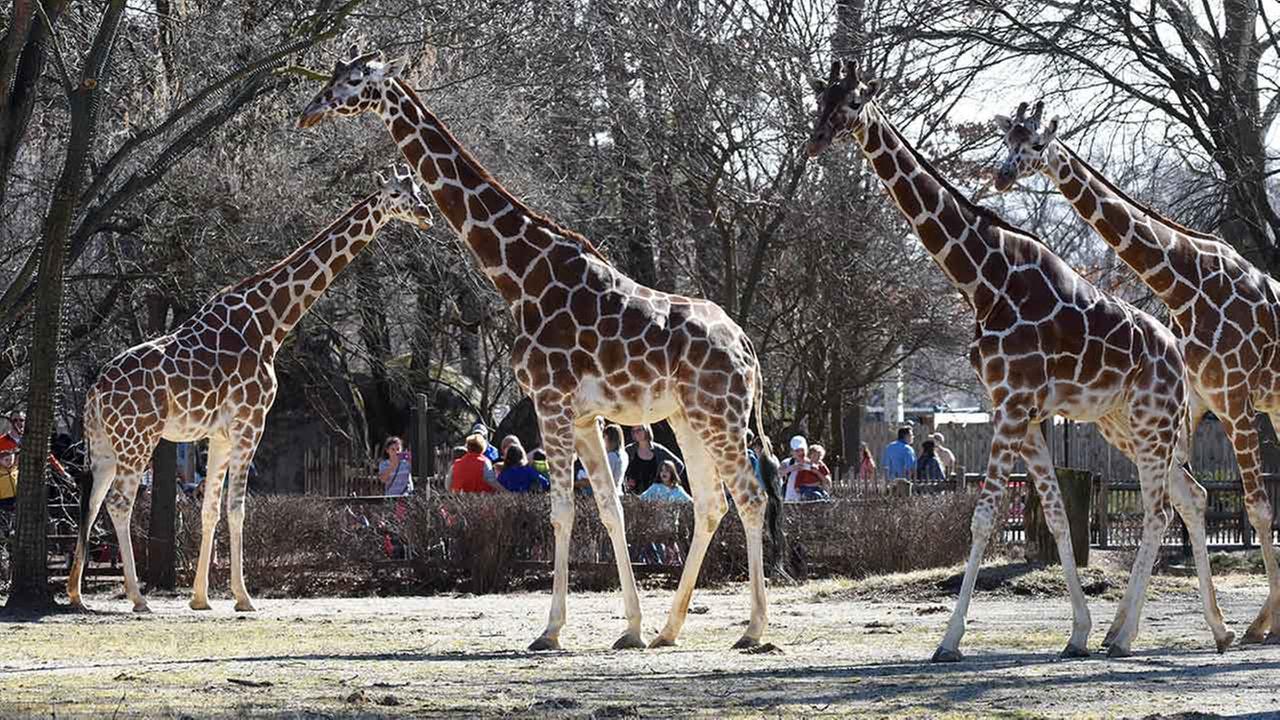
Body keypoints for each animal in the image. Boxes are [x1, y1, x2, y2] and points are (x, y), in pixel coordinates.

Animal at [67, 166, 434, 613]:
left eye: (419, 189)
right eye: (397, 193)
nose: (426, 215)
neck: (270, 323)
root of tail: (95, 390)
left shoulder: (220, 433)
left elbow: (209, 509)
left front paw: (201, 598)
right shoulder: (251, 422)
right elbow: (237, 508)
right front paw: (243, 597)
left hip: (105, 445)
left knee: (92, 501)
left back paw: (76, 593)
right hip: (138, 440)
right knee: (120, 505)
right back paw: (138, 597)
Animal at [298, 47, 786, 651]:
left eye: (352, 80)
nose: (309, 112)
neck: (522, 275)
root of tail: (747, 347)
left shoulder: (551, 401)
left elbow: (561, 511)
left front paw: (550, 630)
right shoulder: (583, 415)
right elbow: (609, 509)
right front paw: (630, 628)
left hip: (720, 414)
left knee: (750, 495)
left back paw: (754, 629)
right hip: (688, 418)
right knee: (712, 501)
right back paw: (669, 630)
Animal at [806, 60, 1233, 659]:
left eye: (852, 102)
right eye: (821, 98)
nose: (816, 140)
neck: (984, 280)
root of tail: (1178, 355)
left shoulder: (1011, 406)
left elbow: (984, 516)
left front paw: (949, 640)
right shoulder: (1022, 412)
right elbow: (1054, 515)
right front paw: (1077, 632)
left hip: (1153, 423)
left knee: (1159, 511)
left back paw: (1127, 637)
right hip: (1127, 425)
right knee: (1191, 497)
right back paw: (1210, 630)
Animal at [994, 100, 1280, 645]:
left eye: (1037, 142)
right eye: (1007, 140)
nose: (1001, 176)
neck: (1185, 284)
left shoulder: (1234, 399)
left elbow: (1256, 507)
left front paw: (1257, 626)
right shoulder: (1196, 403)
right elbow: (1187, 499)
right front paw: (1122, 629)